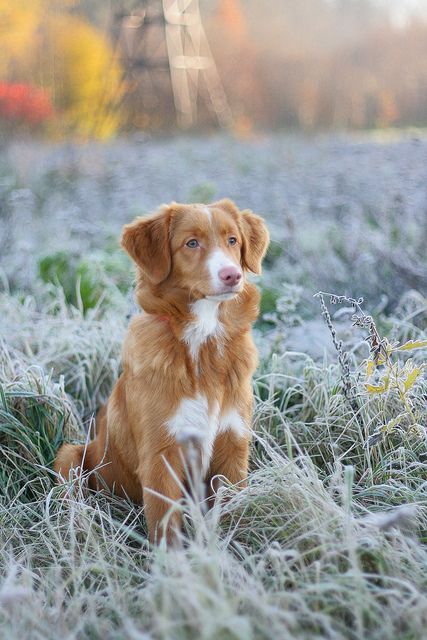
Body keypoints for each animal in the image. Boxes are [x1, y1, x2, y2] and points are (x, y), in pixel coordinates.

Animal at [53, 198, 270, 544]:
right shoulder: (160, 457)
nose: (232, 275)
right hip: (70, 457)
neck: (202, 341)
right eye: (191, 243)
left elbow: (230, 511)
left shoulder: (232, 445)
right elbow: (167, 528)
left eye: (232, 240)